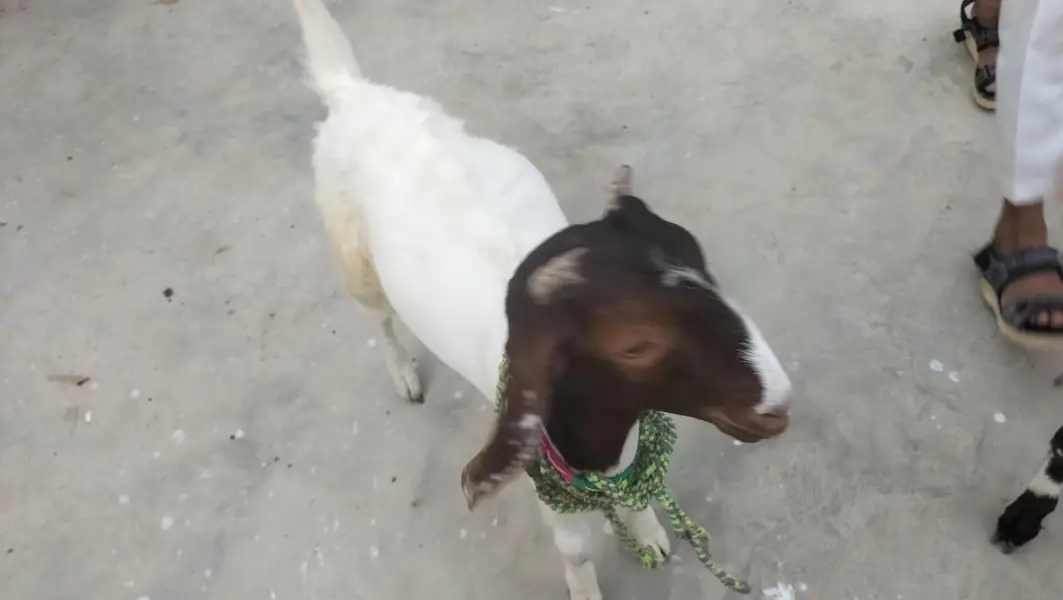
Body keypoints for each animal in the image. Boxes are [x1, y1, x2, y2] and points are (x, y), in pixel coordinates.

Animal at [291, 1, 793, 597]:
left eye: (705, 265)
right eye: (635, 345)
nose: (779, 403)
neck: (597, 446)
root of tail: (352, 92)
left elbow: (636, 488)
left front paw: (647, 531)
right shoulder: (543, 469)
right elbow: (575, 549)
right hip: (355, 261)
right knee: (380, 320)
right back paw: (405, 374)